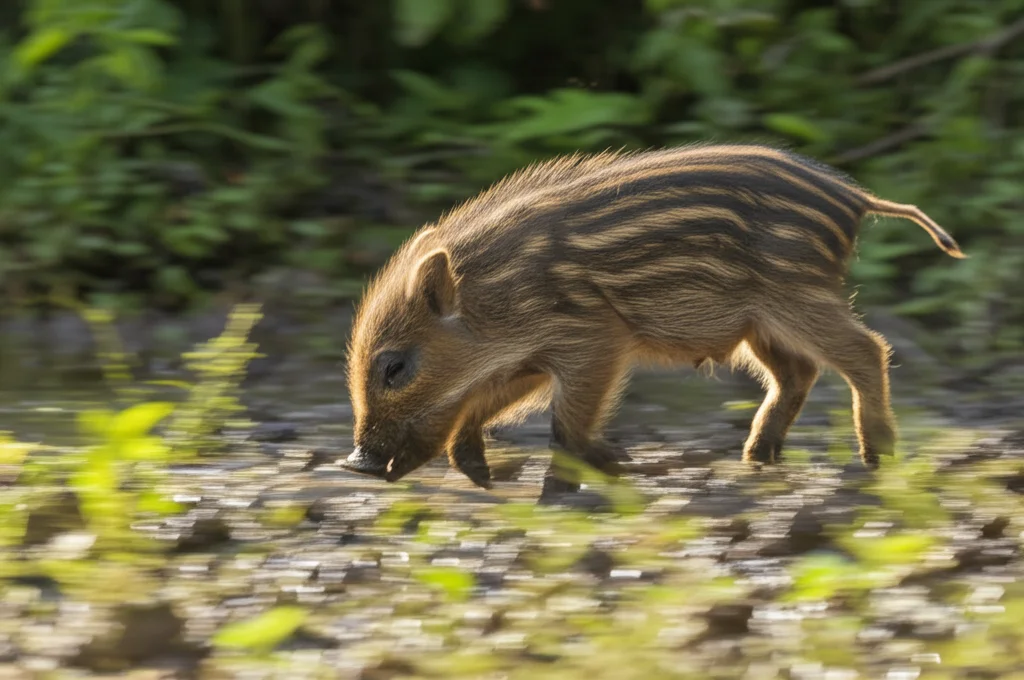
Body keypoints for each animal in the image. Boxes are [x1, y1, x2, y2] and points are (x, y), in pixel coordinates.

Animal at [338, 144, 965, 490]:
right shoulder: (528, 360)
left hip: (796, 295)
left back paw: (876, 457)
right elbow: (488, 404)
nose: (355, 463)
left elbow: (564, 425)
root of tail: (856, 199)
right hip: (761, 323)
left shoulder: (592, 337)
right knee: (798, 374)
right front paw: (479, 475)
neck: (496, 300)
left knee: (865, 350)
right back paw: (756, 458)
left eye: (394, 368)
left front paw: (615, 467)